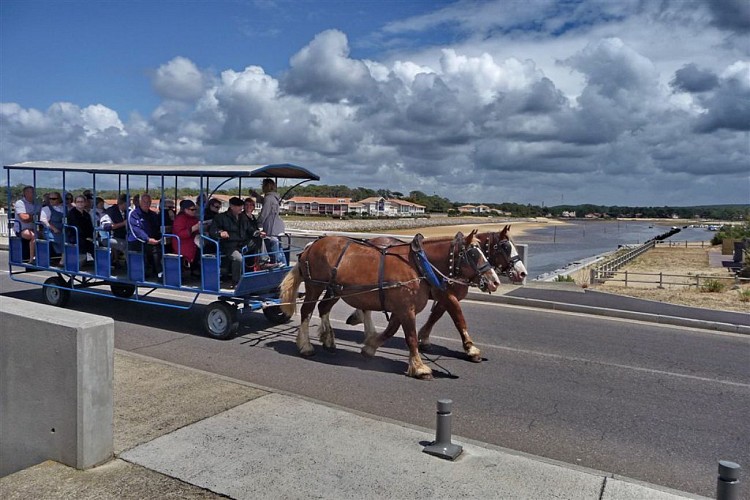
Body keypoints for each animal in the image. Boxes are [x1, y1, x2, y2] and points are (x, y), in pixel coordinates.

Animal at [280, 230, 502, 378]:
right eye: (473, 253)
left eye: (484, 251)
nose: (495, 281)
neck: (419, 264)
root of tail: (311, 246)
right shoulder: (407, 308)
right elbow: (411, 337)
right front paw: (419, 367)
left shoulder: (403, 307)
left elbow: (391, 331)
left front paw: (370, 347)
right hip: (314, 286)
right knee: (307, 311)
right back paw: (306, 346)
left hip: (336, 289)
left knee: (323, 308)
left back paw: (329, 340)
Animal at [348, 227, 528, 364]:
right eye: (505, 247)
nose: (522, 273)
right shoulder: (446, 295)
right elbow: (458, 318)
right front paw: (471, 348)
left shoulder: (444, 297)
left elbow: (436, 315)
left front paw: (424, 338)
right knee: (365, 307)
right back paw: (368, 331)